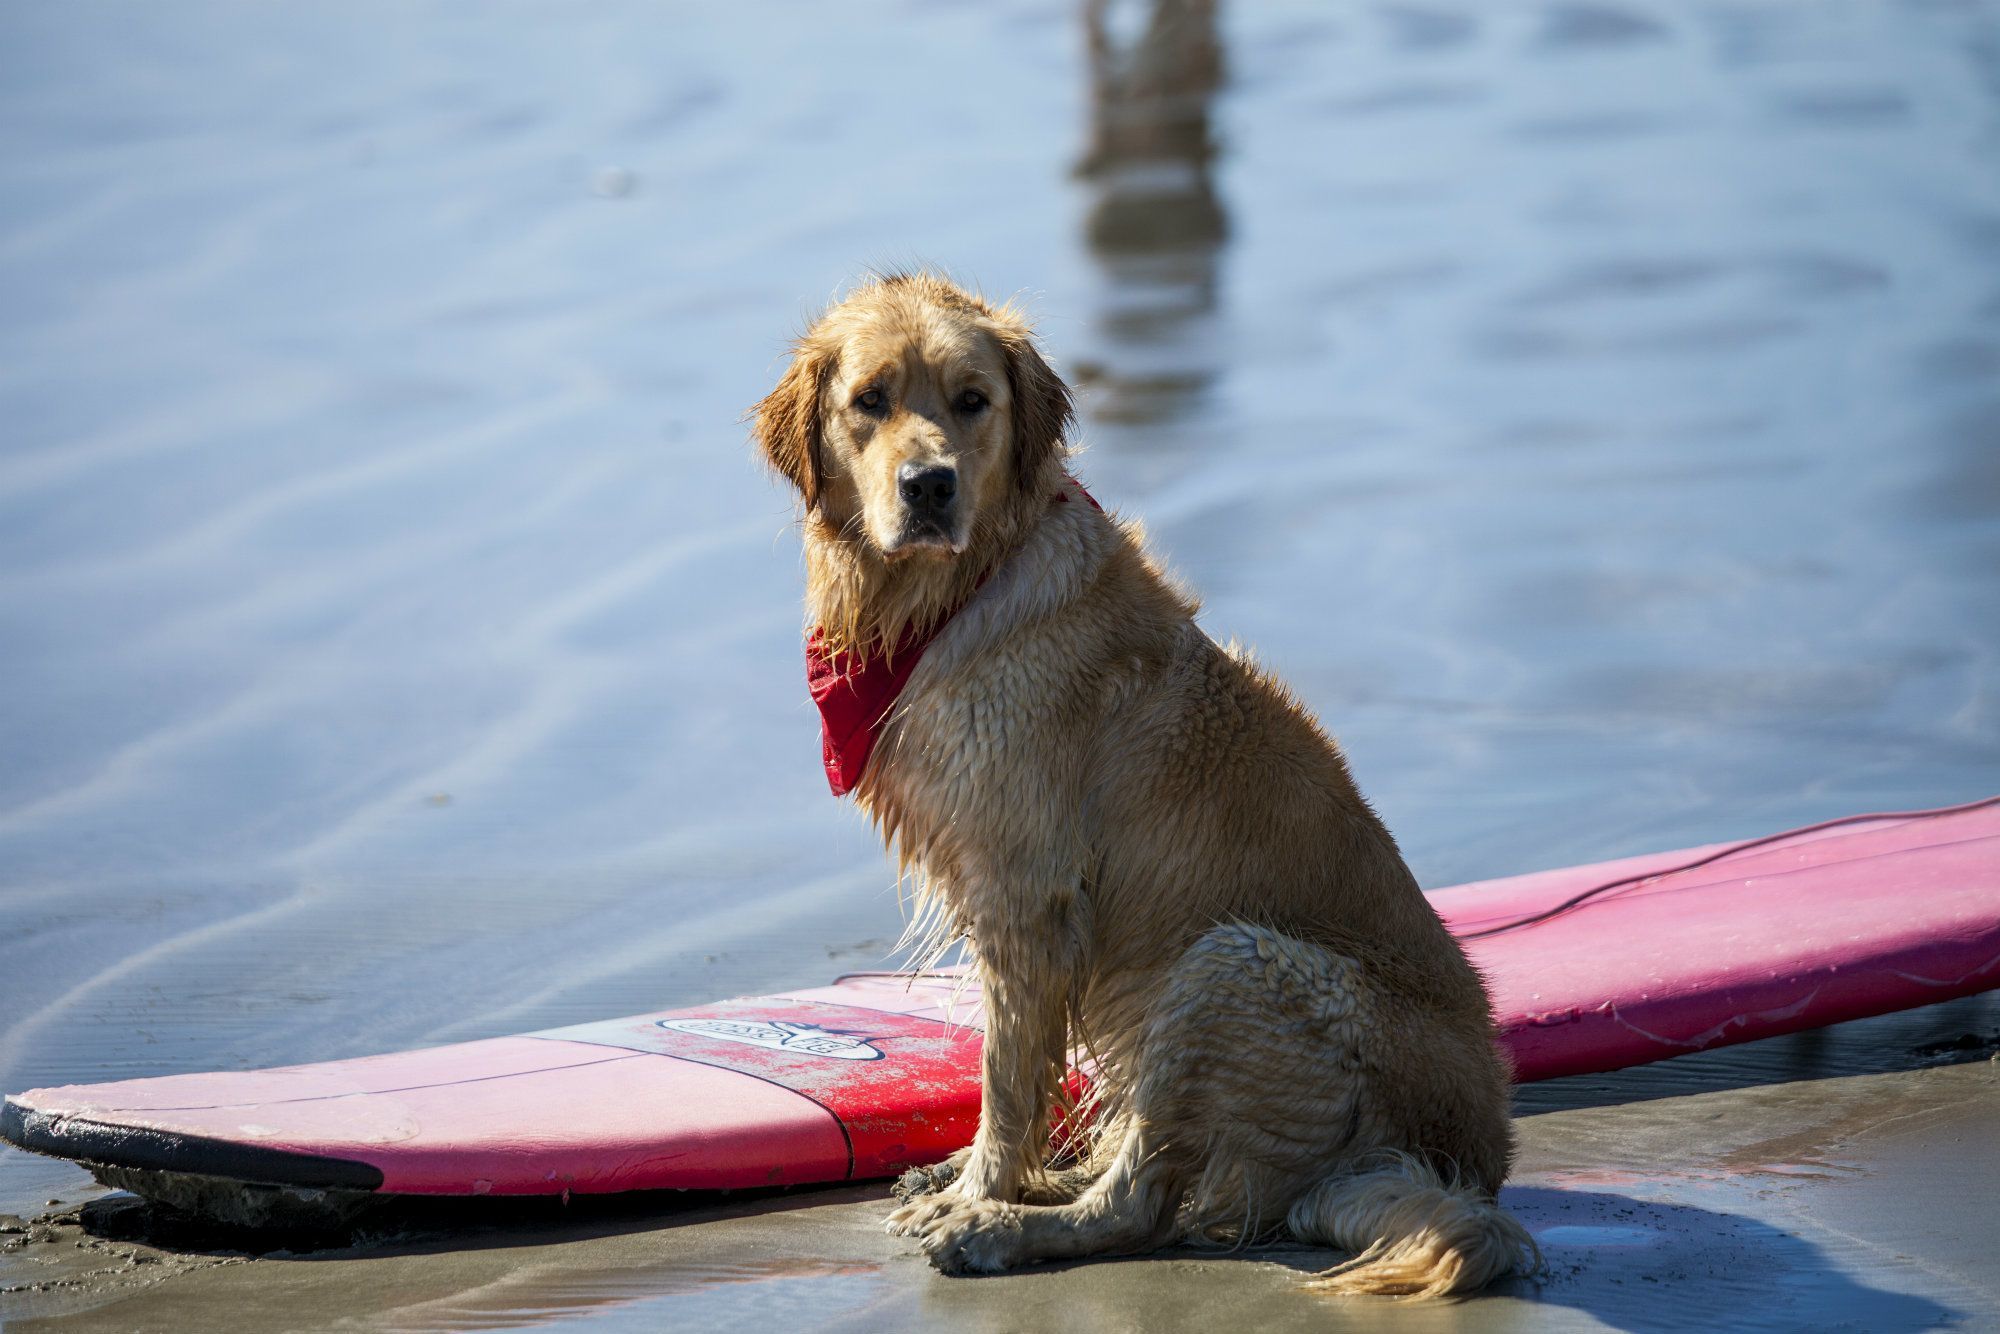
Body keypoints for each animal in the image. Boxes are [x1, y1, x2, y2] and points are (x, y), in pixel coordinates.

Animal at [752, 272, 1528, 1296]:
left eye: (972, 400)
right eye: (870, 400)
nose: (930, 487)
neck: (951, 596)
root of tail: (1474, 1164)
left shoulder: (1027, 895)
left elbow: (1007, 1079)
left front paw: (978, 1192)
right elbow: (1031, 1075)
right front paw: (971, 1173)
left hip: (1230, 964)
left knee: (1139, 1204)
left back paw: (1003, 1226)